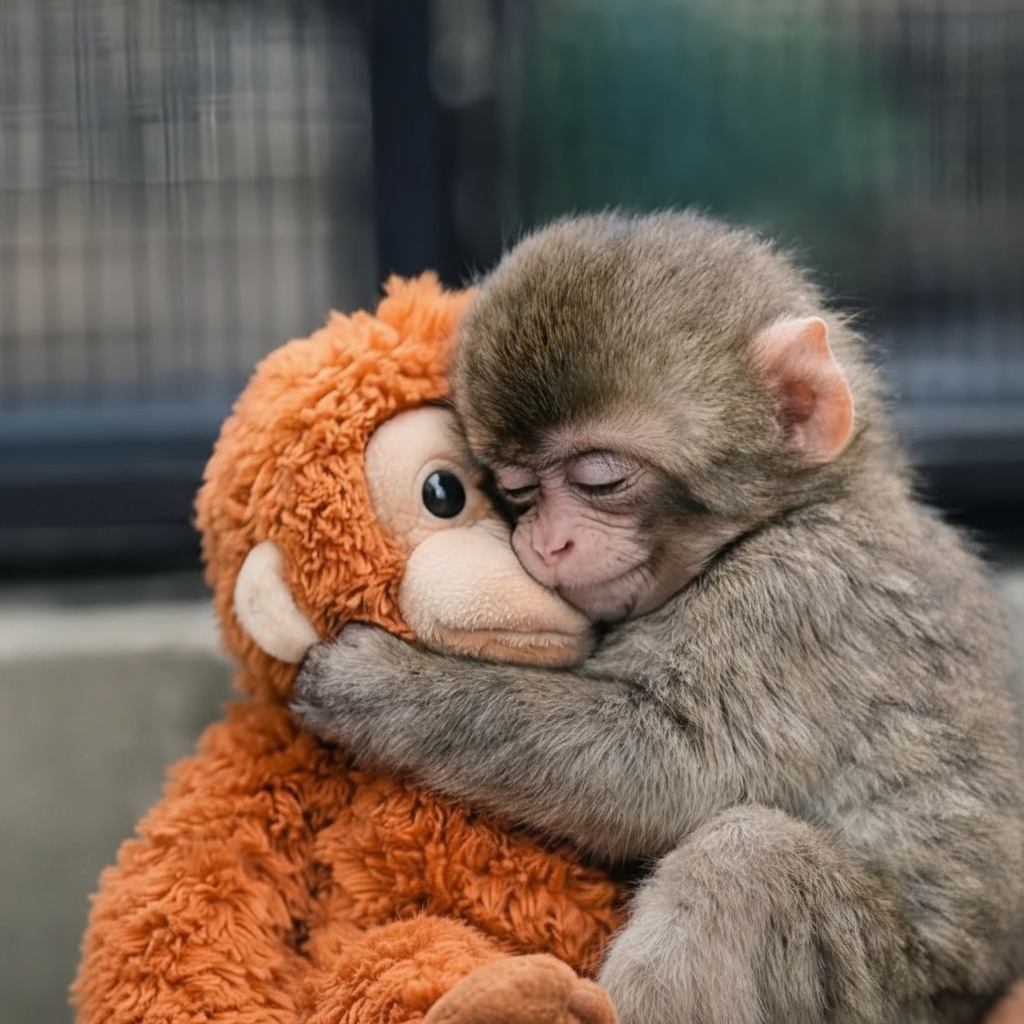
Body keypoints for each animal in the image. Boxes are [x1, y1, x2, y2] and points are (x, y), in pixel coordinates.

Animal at [293, 211, 1024, 1024]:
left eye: (601, 479)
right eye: (517, 489)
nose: (545, 542)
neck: (792, 514)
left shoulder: (797, 599)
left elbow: (677, 765)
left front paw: (375, 685)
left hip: (882, 993)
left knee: (747, 862)